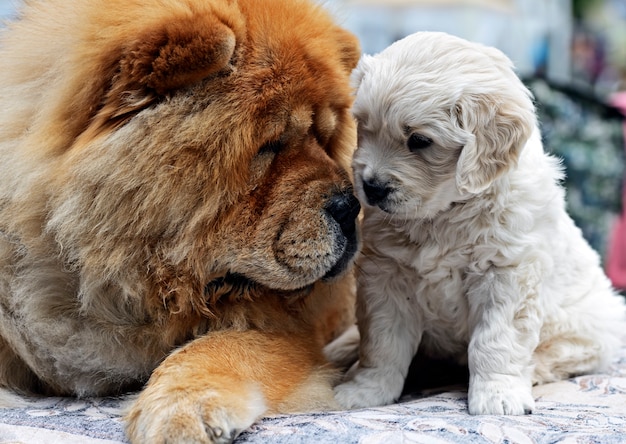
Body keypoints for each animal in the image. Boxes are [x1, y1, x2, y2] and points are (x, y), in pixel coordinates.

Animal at [0, 0, 358, 440]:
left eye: (325, 140)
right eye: (271, 146)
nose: (351, 206)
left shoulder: (287, 330)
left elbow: (217, 349)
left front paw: (180, 411)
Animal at [330, 32, 620, 416]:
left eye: (419, 141)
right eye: (365, 126)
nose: (372, 187)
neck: (444, 214)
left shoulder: (507, 273)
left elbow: (495, 341)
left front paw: (499, 395)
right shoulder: (386, 274)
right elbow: (381, 341)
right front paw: (366, 390)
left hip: (591, 322)